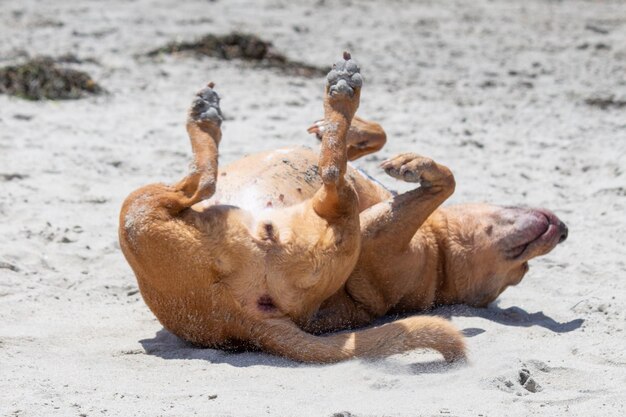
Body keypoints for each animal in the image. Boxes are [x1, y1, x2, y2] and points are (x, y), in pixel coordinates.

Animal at [117, 52, 564, 362]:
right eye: (522, 269)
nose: (563, 232)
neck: (440, 260)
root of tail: (233, 316)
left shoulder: (378, 237)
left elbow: (444, 179)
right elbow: (378, 139)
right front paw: (365, 137)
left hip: (138, 210)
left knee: (220, 179)